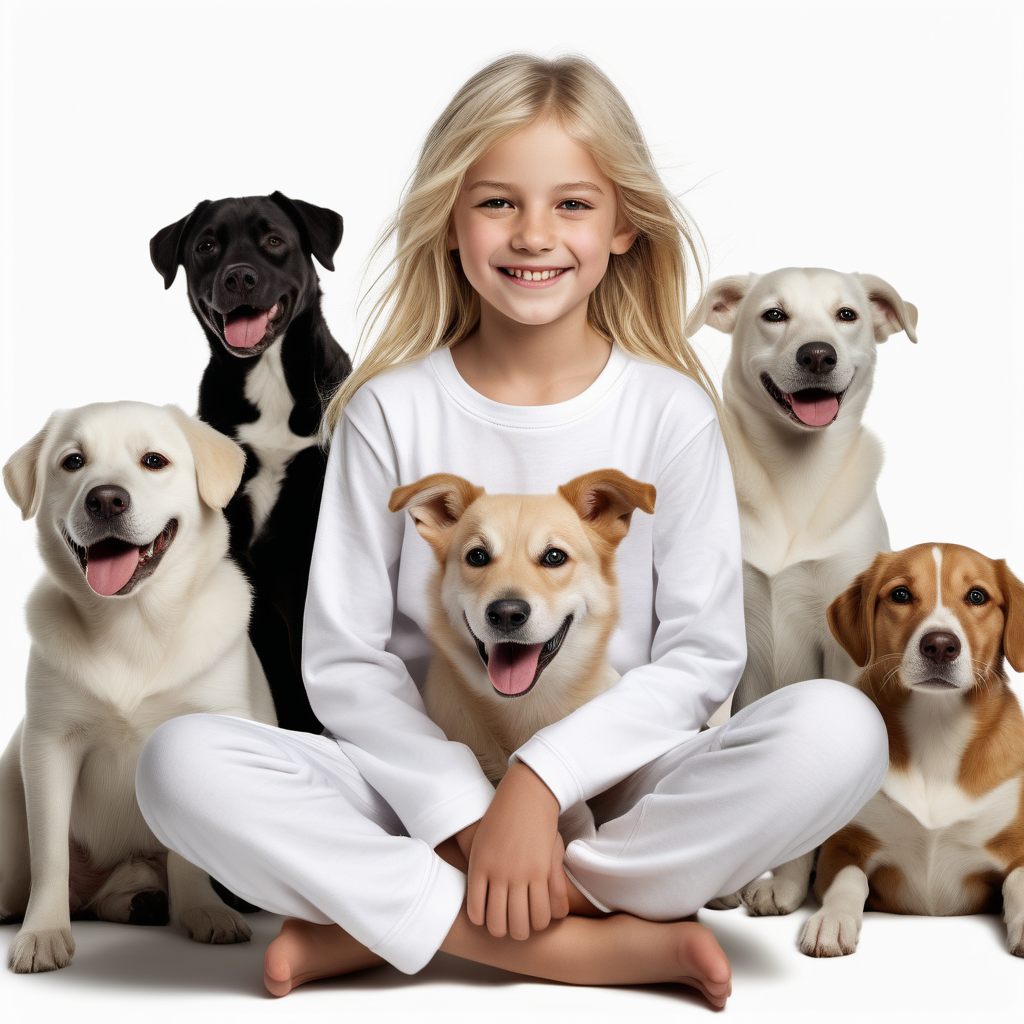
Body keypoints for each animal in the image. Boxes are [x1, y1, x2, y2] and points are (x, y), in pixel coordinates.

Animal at [0, 401, 276, 974]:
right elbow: (50, 854)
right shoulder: (48, 745)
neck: (133, 627)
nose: (105, 499)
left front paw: (202, 910)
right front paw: (43, 933)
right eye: (73, 461)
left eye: (154, 461)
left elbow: (189, 857)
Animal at [708, 266, 917, 913]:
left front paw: (791, 885)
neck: (794, 478)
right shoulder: (743, 650)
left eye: (846, 315)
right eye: (774, 314)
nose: (818, 354)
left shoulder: (843, 657)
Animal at [798, 544, 1024, 958]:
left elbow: (1017, 883)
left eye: (977, 596)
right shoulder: (843, 845)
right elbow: (848, 880)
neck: (937, 728)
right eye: (901, 594)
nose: (940, 646)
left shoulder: (1017, 847)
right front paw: (831, 921)